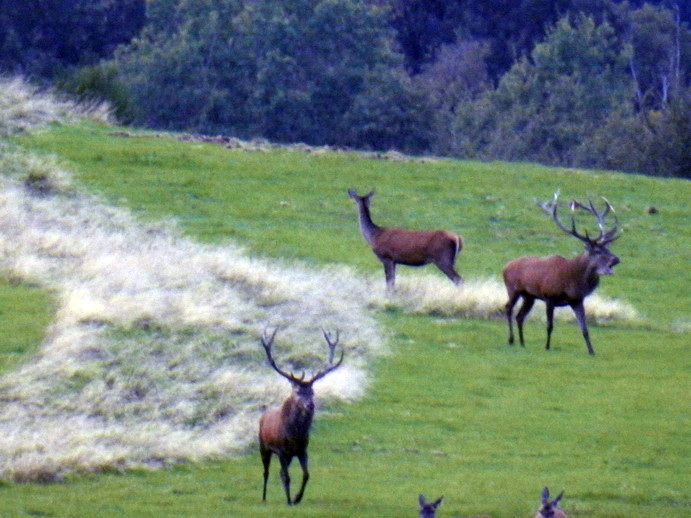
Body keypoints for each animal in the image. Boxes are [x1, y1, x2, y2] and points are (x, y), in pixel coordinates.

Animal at [258, 332, 344, 506]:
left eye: (312, 391)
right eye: (297, 391)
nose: (310, 405)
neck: (294, 436)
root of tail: (263, 415)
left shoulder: (302, 450)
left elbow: (306, 475)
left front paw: (297, 498)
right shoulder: (281, 451)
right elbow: (287, 477)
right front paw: (290, 500)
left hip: (288, 455)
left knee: (279, 472)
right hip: (263, 446)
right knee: (266, 472)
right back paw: (264, 497)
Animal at [502, 193, 620, 356]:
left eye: (608, 249)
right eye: (597, 251)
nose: (616, 259)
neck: (572, 280)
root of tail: (505, 267)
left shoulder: (577, 300)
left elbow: (584, 328)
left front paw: (591, 351)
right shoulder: (549, 296)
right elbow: (550, 325)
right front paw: (547, 347)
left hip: (529, 296)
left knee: (520, 316)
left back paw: (522, 343)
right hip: (513, 289)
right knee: (508, 308)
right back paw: (511, 339)